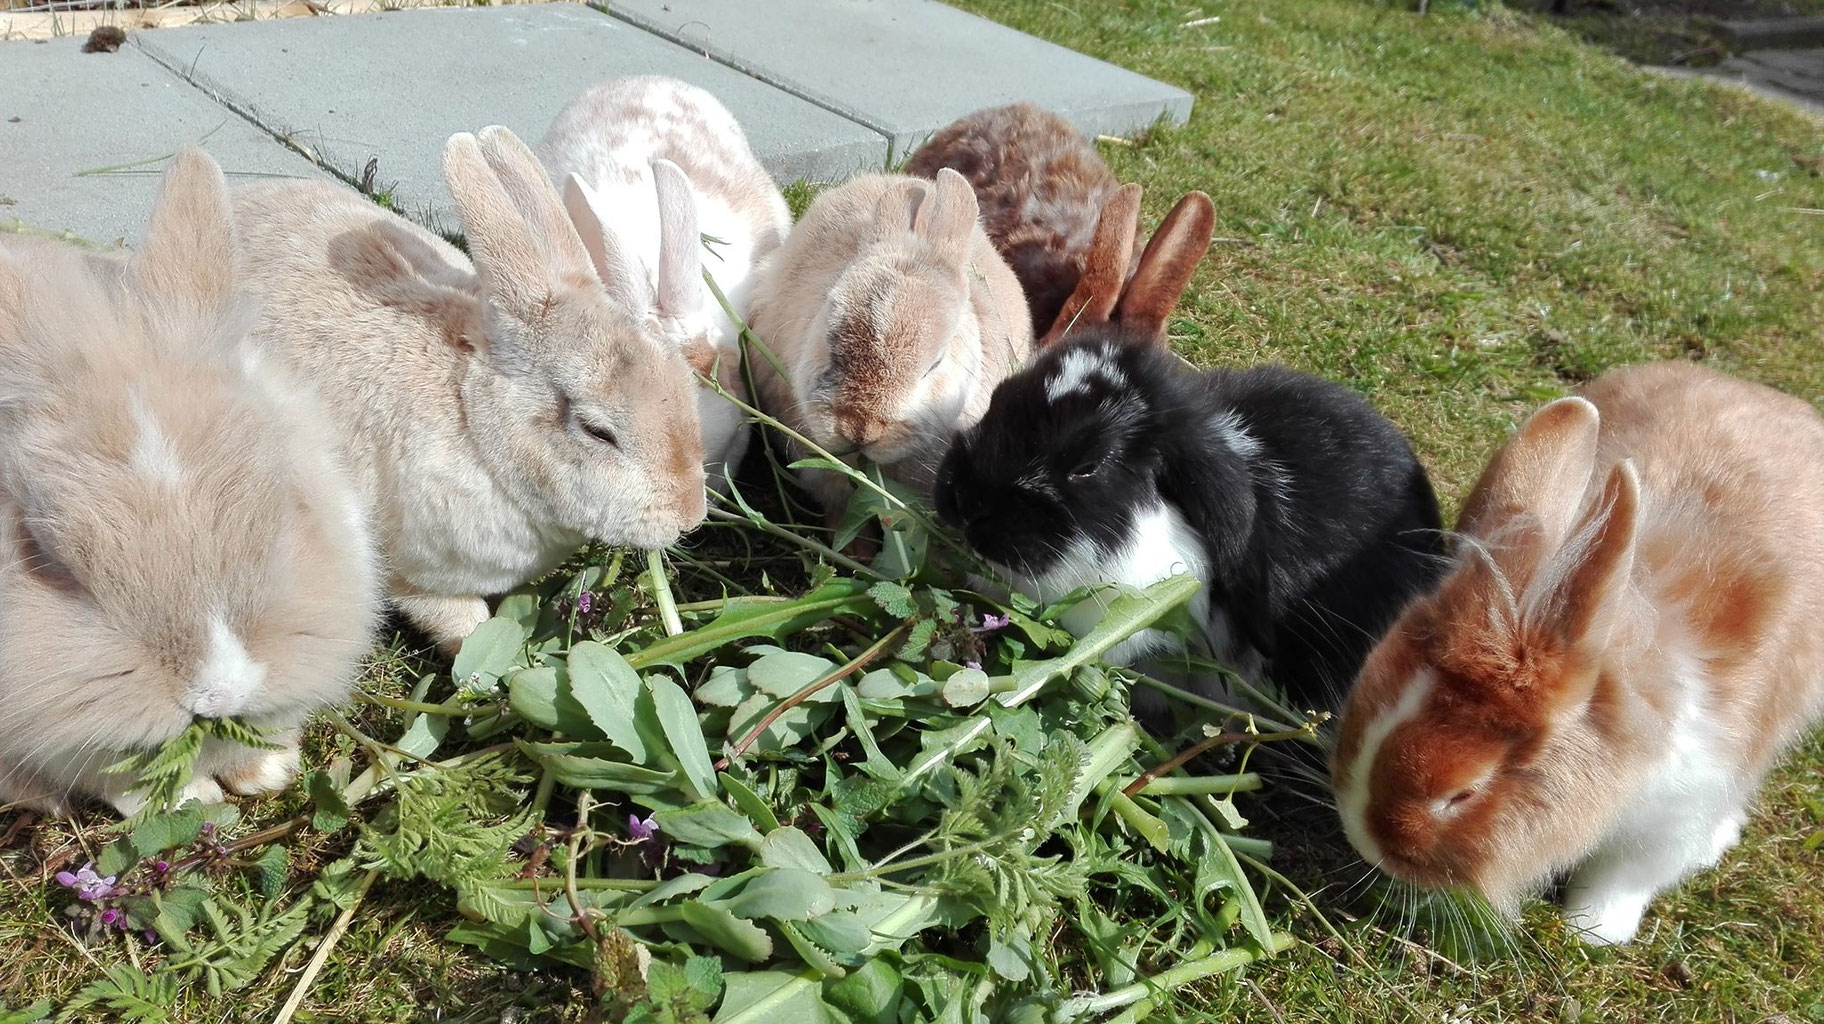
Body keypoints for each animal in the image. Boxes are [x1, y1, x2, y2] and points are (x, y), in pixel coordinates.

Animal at [0, 148, 381, 816]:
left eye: (286, 506)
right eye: (47, 560)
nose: (217, 694)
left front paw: (268, 773)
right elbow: (118, 781)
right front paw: (190, 802)